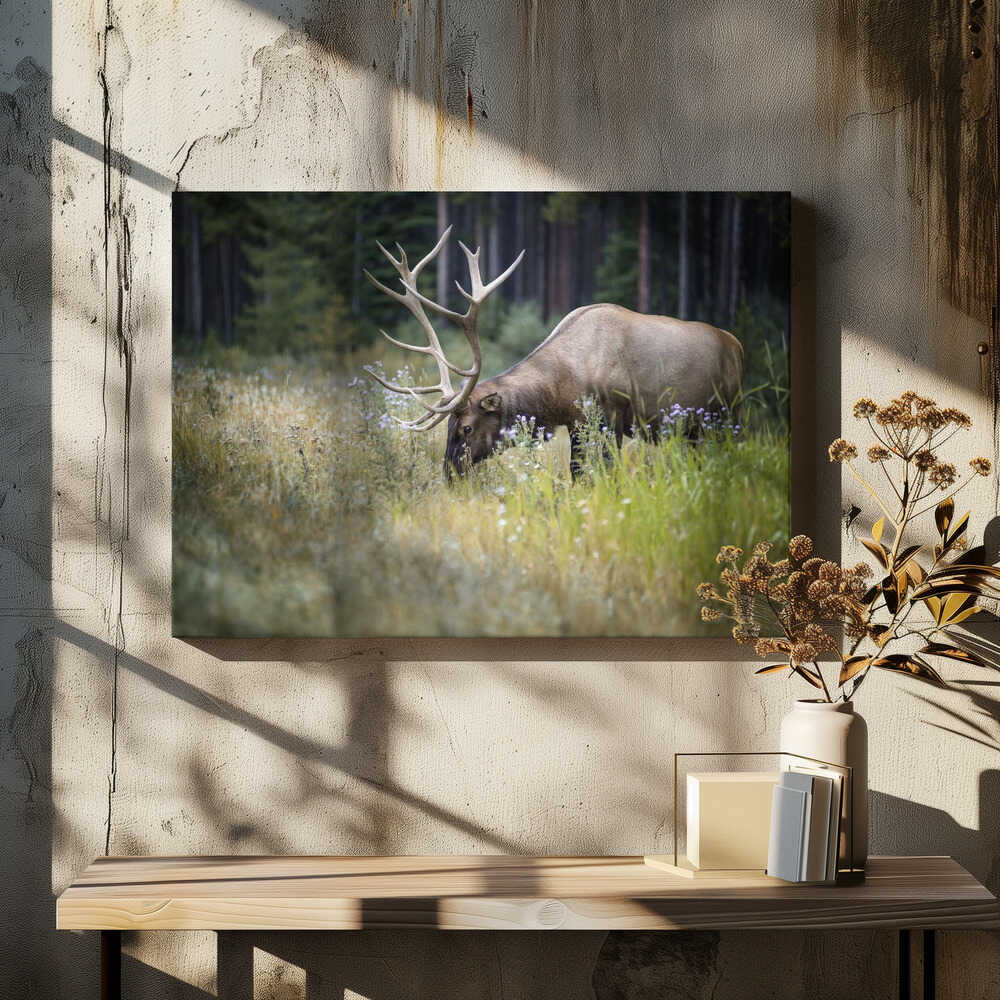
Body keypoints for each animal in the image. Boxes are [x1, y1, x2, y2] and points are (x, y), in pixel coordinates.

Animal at [363, 228, 744, 479]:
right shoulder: (576, 424)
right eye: (448, 427)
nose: (450, 474)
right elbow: (576, 474)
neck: (564, 386)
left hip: (728, 413)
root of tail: (737, 346)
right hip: (696, 429)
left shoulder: (612, 416)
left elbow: (605, 475)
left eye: (467, 428)